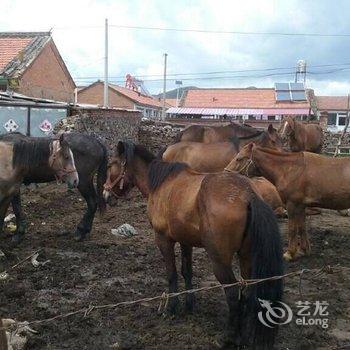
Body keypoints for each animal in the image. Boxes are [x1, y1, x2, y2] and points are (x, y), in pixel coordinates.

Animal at [102, 141, 284, 348]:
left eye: (110, 165)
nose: (105, 194)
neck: (161, 182)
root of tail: (247, 195)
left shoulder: (163, 240)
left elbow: (172, 274)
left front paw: (171, 308)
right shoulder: (185, 241)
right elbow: (186, 272)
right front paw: (189, 305)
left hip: (220, 261)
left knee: (232, 292)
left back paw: (229, 337)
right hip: (245, 257)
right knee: (246, 290)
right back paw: (243, 337)